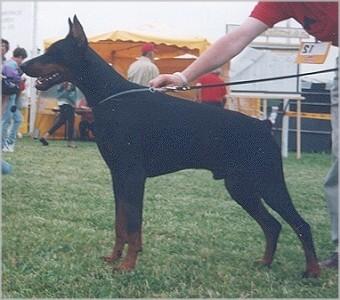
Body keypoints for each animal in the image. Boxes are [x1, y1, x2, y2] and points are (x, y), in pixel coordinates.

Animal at [20, 14, 318, 276]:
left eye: (54, 52)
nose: (23, 67)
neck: (111, 97)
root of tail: (264, 126)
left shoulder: (133, 175)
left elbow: (133, 226)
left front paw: (127, 266)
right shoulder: (118, 175)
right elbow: (120, 223)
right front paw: (114, 258)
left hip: (269, 182)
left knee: (301, 224)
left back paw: (312, 271)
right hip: (240, 186)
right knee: (272, 225)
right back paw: (265, 263)